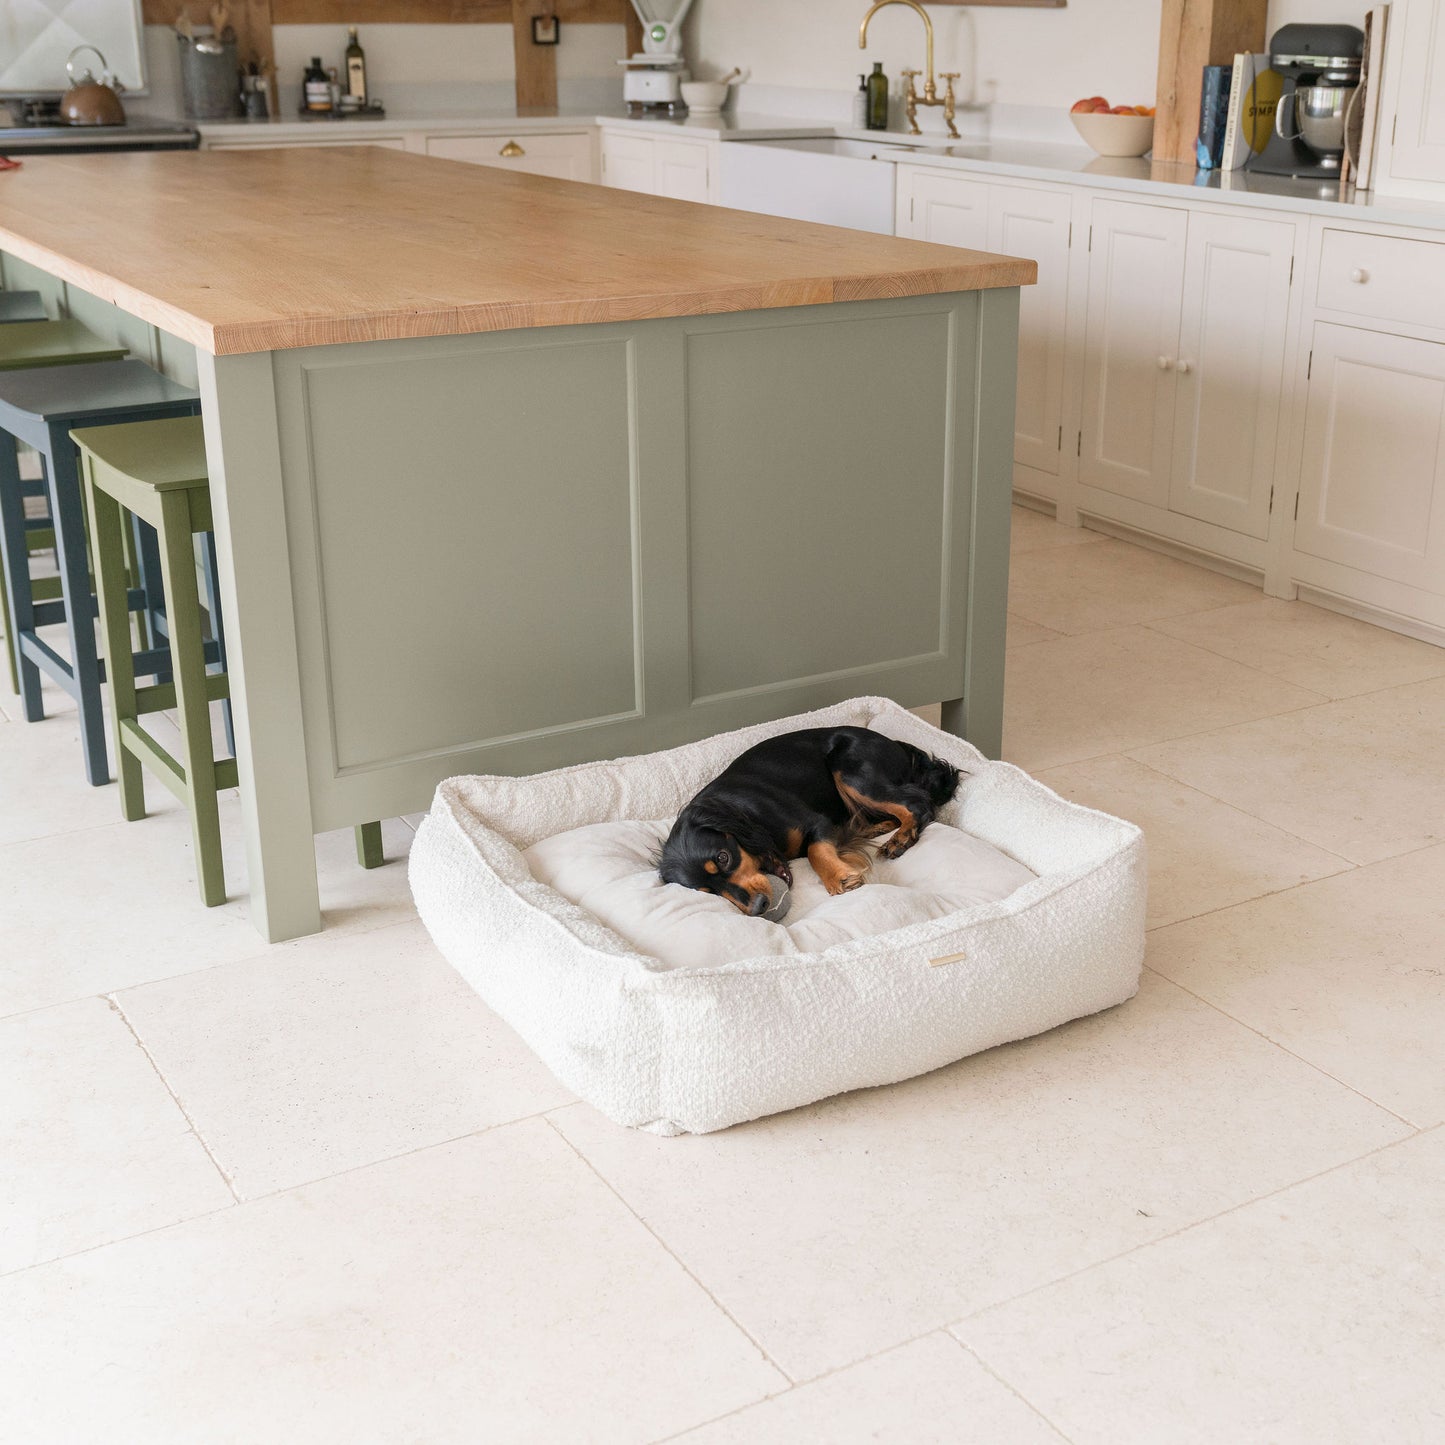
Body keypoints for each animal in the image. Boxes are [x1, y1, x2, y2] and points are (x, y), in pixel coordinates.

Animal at [656, 728, 959, 919]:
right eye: (709, 892)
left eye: (723, 857)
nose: (759, 906)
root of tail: (897, 745)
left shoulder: (816, 822)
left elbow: (815, 850)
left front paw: (839, 877)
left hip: (850, 770)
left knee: (918, 803)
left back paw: (901, 838)